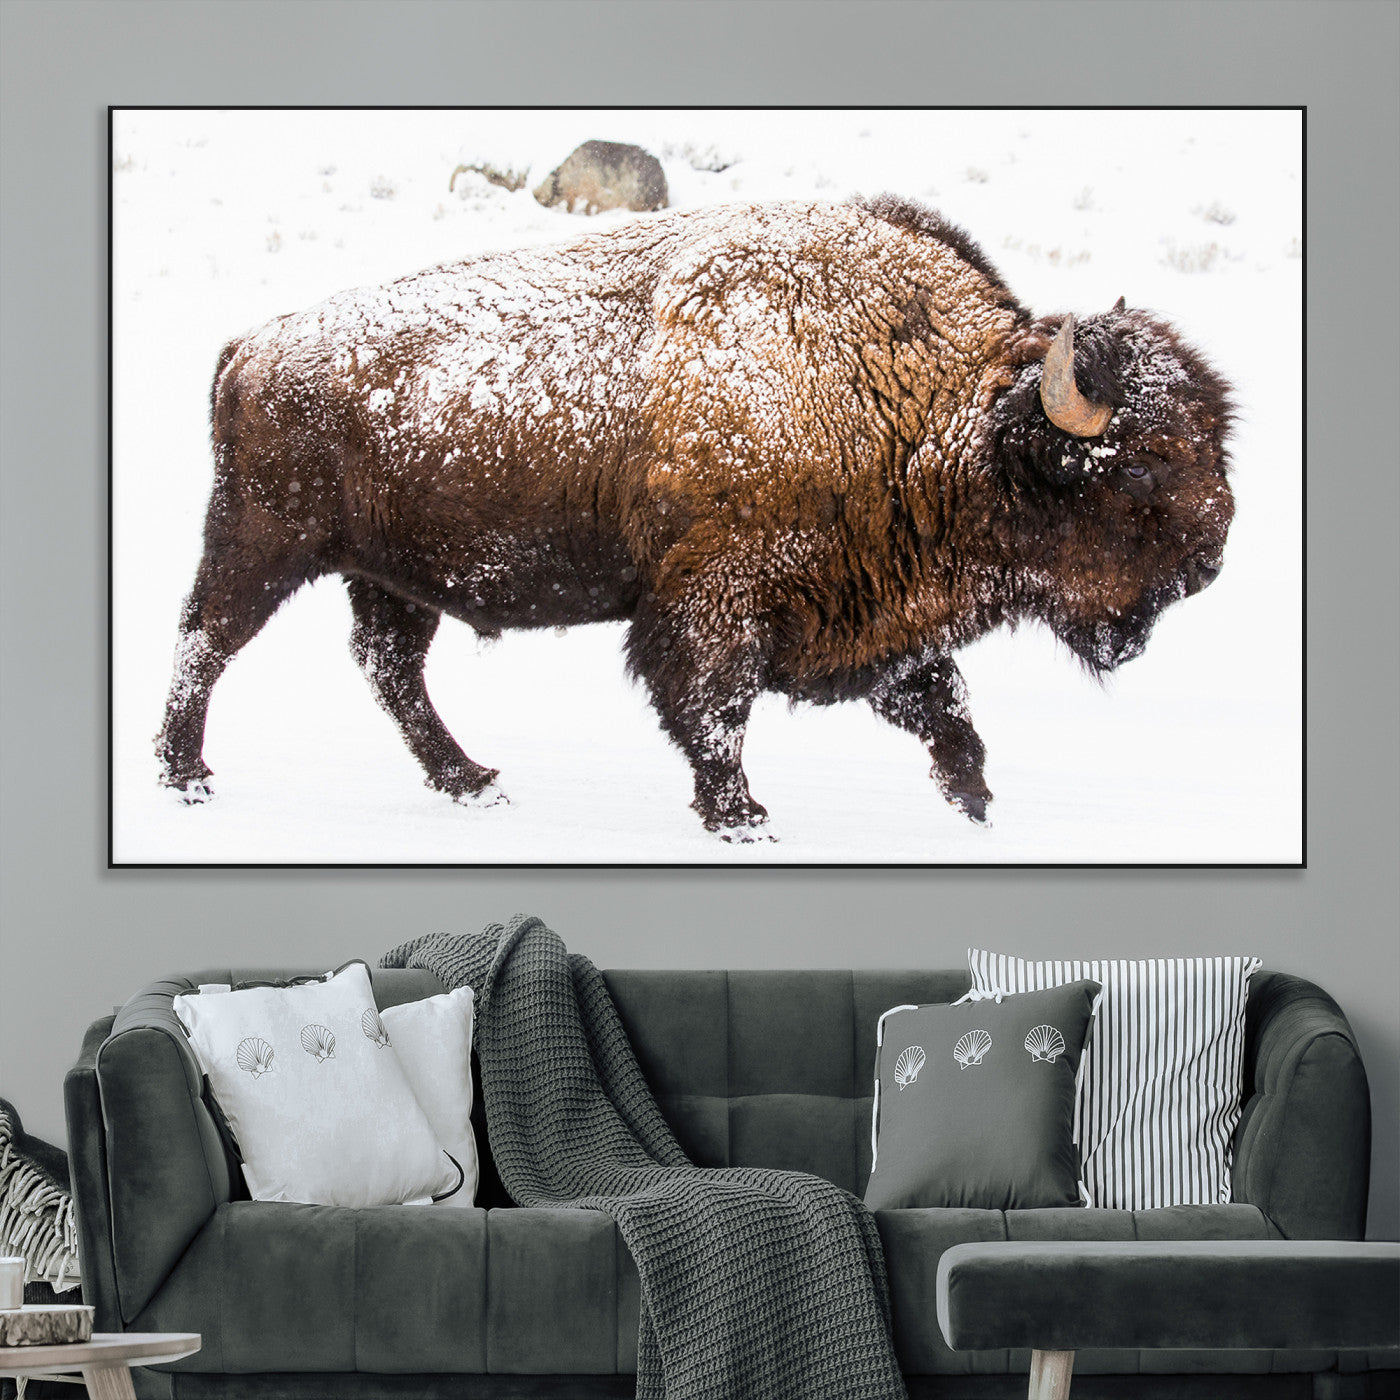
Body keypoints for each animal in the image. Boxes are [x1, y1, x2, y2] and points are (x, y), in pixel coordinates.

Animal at [156, 195, 1233, 840]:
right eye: (1139, 467)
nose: (1214, 553)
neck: (933, 407)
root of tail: (251, 344)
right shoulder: (715, 601)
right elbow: (714, 710)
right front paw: (741, 815)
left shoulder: (882, 617)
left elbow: (946, 710)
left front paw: (972, 805)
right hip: (262, 543)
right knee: (205, 642)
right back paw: (186, 777)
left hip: (388, 574)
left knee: (389, 669)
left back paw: (472, 780)